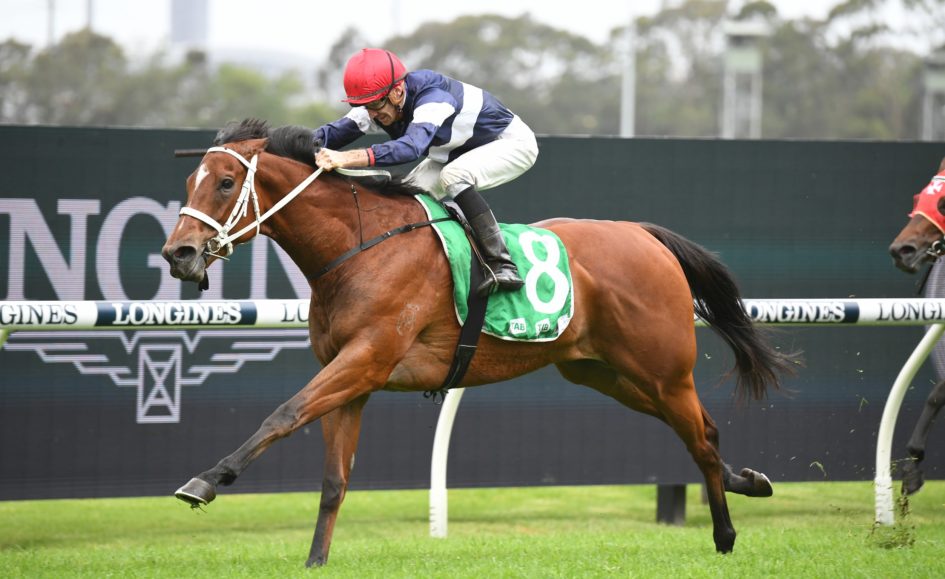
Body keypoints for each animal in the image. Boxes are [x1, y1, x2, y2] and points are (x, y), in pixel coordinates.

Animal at [162, 119, 796, 567]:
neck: (360, 246)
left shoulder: (366, 360)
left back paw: (725, 533)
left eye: (225, 183)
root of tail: (644, 235)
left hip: (662, 369)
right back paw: (747, 482)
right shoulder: (351, 378)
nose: (178, 253)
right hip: (605, 372)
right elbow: (334, 481)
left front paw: (204, 482)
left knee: (700, 438)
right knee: (701, 431)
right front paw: (316, 561)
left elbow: (283, 414)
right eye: (190, 182)